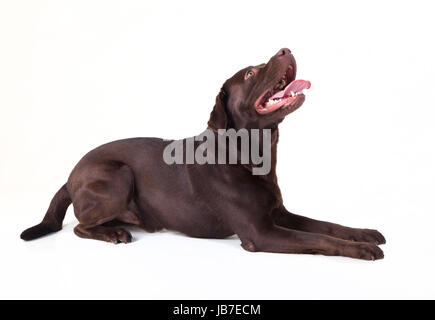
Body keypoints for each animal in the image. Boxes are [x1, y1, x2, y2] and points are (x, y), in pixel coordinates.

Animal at [21, 49, 384, 260]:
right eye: (250, 73)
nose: (286, 49)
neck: (249, 155)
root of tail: (69, 177)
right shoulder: (260, 233)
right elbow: (319, 238)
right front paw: (362, 248)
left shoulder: (278, 213)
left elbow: (326, 225)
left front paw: (364, 233)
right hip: (117, 175)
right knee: (79, 226)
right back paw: (113, 232)